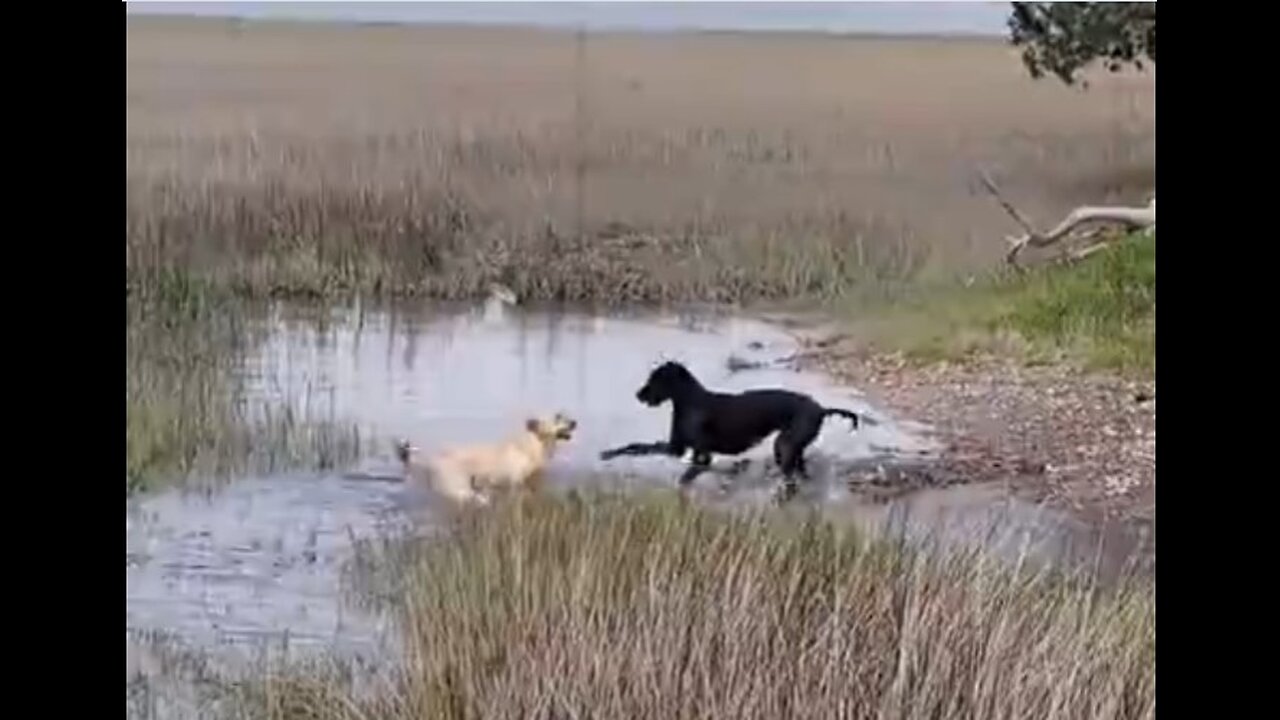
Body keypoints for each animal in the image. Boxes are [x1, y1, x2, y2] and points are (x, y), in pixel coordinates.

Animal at [394, 409, 581, 504]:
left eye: (563, 414)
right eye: (558, 417)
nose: (575, 422)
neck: (533, 442)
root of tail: (431, 463)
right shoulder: (516, 483)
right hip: (458, 489)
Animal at [601, 358, 870, 499]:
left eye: (657, 379)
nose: (639, 394)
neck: (689, 400)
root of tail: (822, 408)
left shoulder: (702, 456)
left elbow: (686, 476)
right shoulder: (675, 447)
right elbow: (637, 446)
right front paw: (608, 454)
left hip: (783, 445)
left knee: (790, 478)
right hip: (794, 449)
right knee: (799, 475)